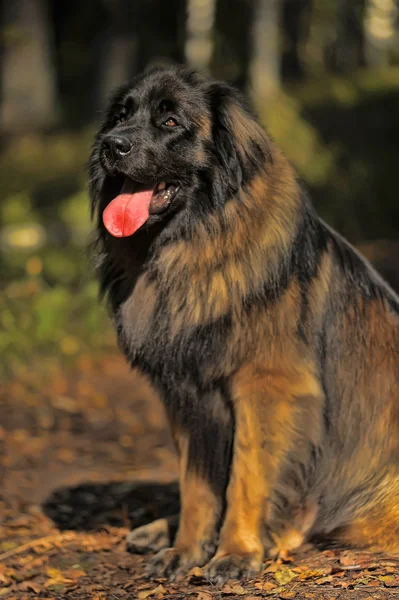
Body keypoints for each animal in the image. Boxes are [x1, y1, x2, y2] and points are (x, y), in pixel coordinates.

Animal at [90, 64, 399, 580]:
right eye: (121, 115)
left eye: (170, 121)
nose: (112, 145)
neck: (189, 247)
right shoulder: (187, 396)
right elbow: (196, 486)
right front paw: (186, 550)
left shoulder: (265, 387)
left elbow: (245, 476)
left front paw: (236, 551)